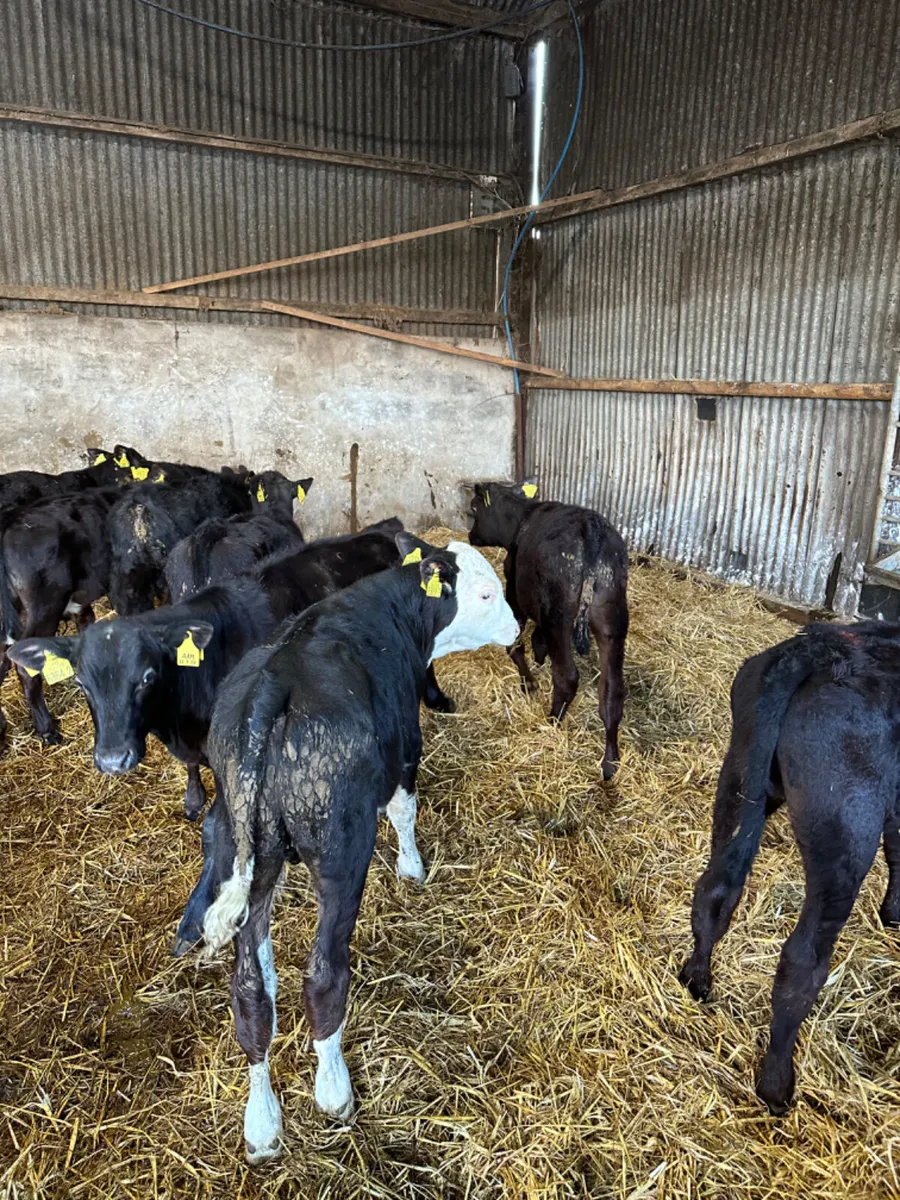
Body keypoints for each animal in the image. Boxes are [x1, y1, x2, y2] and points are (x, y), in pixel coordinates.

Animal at [175, 535, 518, 1163]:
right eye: (486, 593)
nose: (514, 627)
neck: (394, 612)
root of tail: (270, 692)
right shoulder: (407, 739)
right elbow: (404, 808)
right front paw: (412, 867)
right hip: (340, 852)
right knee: (323, 975)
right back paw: (333, 1089)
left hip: (246, 847)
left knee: (251, 990)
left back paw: (262, 1123)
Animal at [467, 477, 629, 778]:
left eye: (473, 508)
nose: (471, 536)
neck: (521, 520)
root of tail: (591, 531)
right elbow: (536, 637)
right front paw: (538, 657)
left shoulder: (515, 593)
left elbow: (516, 643)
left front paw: (528, 682)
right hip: (612, 621)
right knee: (612, 691)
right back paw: (610, 761)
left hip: (559, 618)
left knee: (567, 677)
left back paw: (553, 719)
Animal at [679, 621, 900, 1115]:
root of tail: (821, 650)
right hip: (846, 830)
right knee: (804, 957)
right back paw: (776, 1085)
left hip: (742, 779)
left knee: (715, 892)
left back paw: (696, 980)